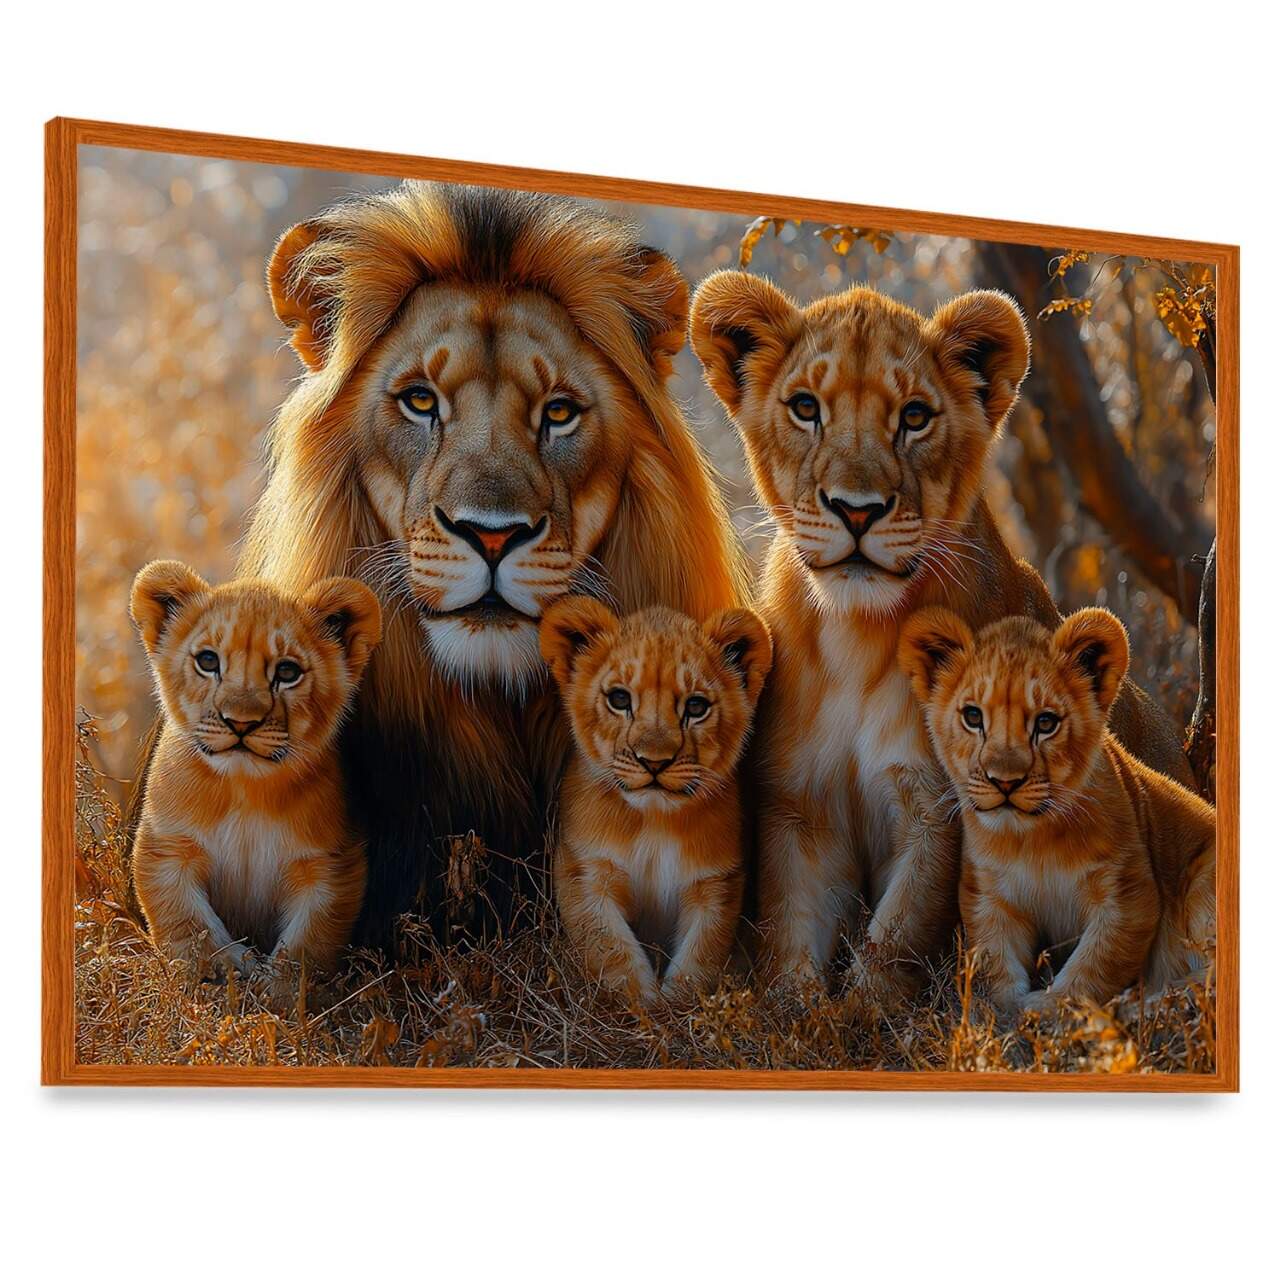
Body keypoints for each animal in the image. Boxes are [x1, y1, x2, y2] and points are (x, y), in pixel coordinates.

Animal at [689, 272, 1193, 991]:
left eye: (915, 416)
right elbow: (790, 943)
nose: (857, 511)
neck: (855, 636)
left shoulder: (940, 810)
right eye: (806, 407)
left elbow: (893, 944)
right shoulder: (802, 806)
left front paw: (860, 1012)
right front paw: (799, 1010)